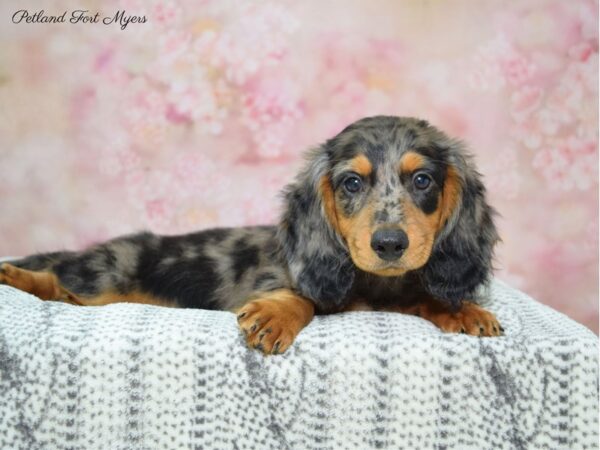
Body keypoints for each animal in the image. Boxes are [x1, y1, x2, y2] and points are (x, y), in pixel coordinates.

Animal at [1, 116, 502, 356]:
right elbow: (298, 294)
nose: (390, 245)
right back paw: (15, 275)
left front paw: (463, 310)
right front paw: (276, 316)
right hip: (106, 273)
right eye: (351, 183)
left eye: (422, 180)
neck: (376, 285)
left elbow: (427, 296)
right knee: (57, 281)